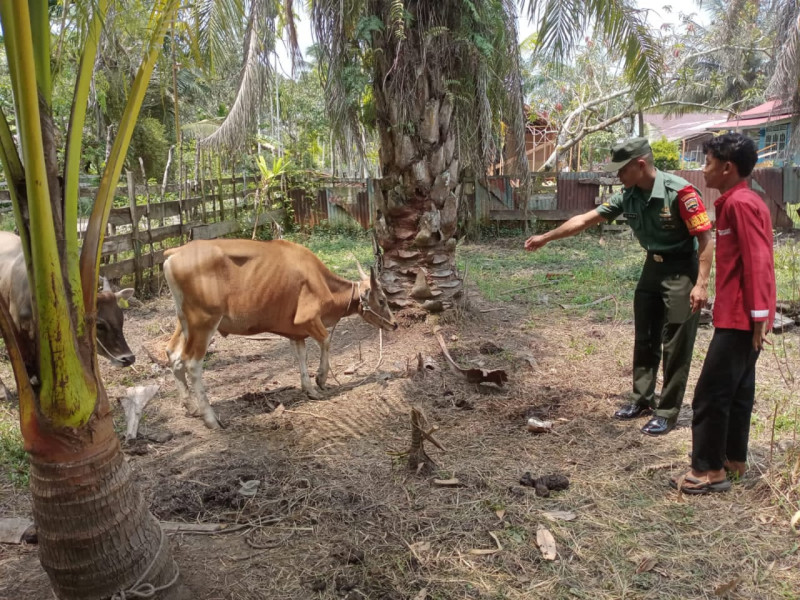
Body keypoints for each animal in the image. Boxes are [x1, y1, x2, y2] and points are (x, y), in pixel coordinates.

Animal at [163, 237, 400, 428]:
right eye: (382, 300)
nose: (394, 324)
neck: (320, 280)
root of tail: (175, 253)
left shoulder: (296, 331)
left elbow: (301, 355)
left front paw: (309, 389)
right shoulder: (308, 318)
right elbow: (325, 341)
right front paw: (321, 379)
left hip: (184, 321)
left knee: (173, 355)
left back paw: (191, 407)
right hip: (204, 321)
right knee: (192, 364)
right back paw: (210, 418)